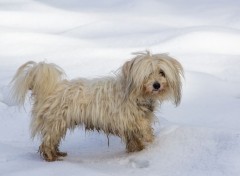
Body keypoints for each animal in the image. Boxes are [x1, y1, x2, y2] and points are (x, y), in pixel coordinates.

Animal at [10, 51, 184, 161]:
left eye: (161, 72)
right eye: (147, 74)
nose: (156, 85)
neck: (136, 94)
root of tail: (49, 89)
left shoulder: (130, 126)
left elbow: (135, 141)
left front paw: (138, 151)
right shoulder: (132, 120)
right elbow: (145, 132)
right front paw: (151, 144)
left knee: (51, 142)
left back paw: (58, 154)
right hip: (55, 123)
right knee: (46, 143)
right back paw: (51, 158)